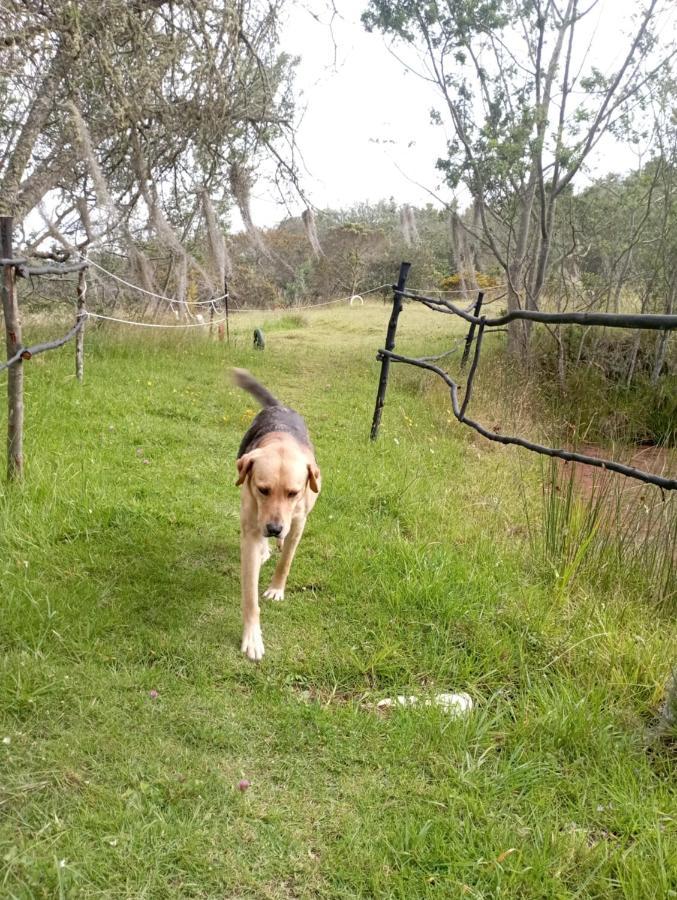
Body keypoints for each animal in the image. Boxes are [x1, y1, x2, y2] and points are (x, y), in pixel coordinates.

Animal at [232, 368, 320, 660]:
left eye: (293, 492)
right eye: (262, 489)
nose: (273, 529)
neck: (281, 441)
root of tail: (277, 406)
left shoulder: (298, 523)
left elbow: (286, 562)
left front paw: (276, 589)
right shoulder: (251, 527)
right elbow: (249, 596)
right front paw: (252, 637)